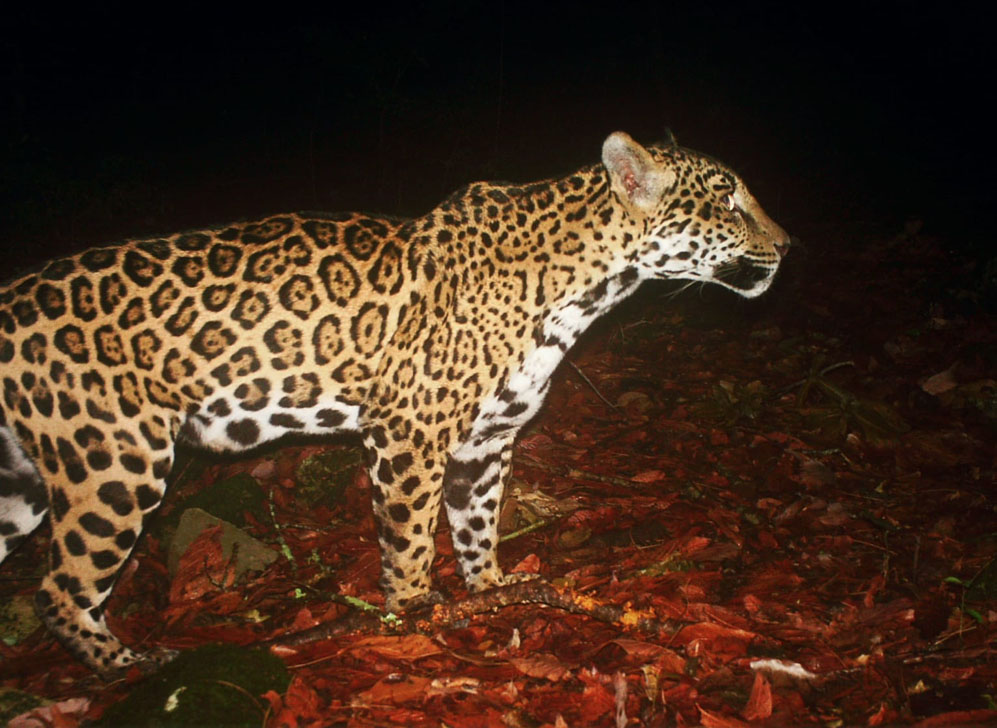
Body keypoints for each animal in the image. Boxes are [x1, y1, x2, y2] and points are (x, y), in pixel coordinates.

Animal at [0, 131, 789, 677]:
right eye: (728, 202)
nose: (787, 243)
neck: (587, 286)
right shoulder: (411, 432)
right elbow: (410, 536)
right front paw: (412, 618)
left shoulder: (485, 441)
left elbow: (476, 528)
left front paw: (492, 592)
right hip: (114, 463)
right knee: (60, 589)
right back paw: (128, 669)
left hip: (21, 482)